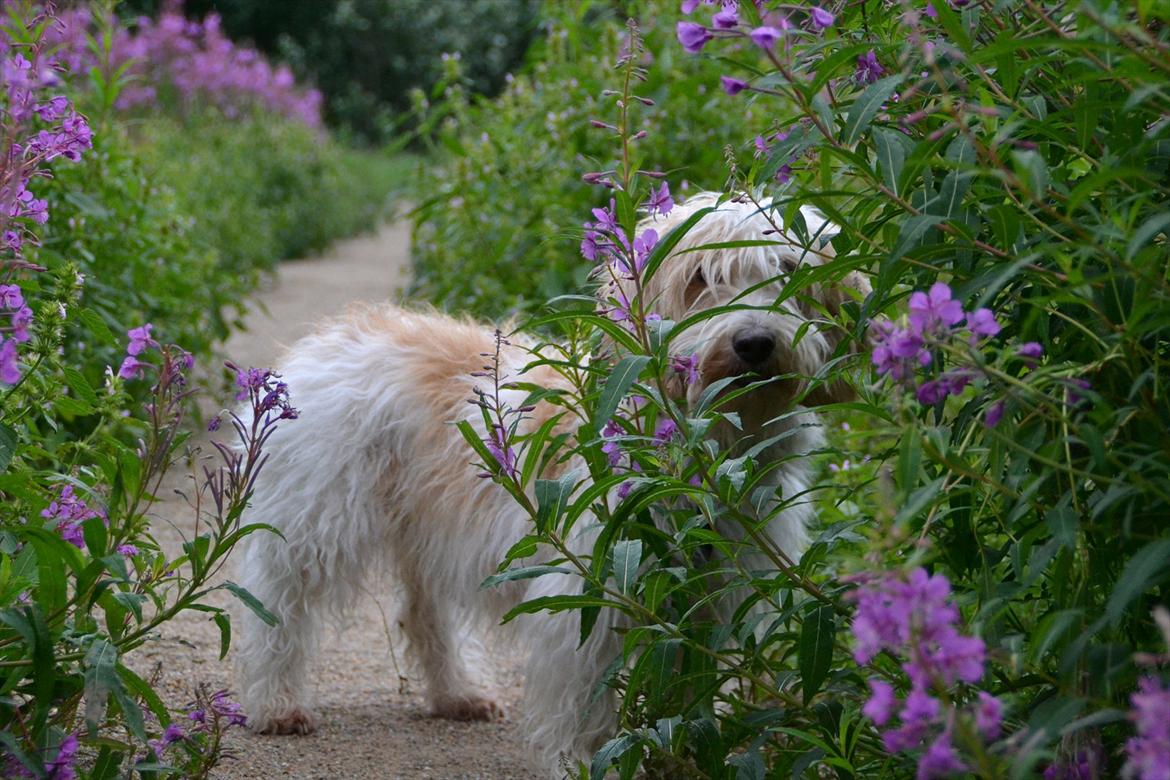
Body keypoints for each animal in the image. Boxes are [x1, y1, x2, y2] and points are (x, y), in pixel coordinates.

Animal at [232, 191, 870, 771]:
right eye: (700, 278)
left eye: (790, 272)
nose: (755, 342)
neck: (708, 460)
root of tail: (332, 335)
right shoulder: (589, 596)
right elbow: (583, 703)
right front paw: (582, 763)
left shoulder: (705, 601)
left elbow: (689, 689)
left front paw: (688, 749)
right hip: (315, 522)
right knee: (276, 605)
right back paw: (276, 704)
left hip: (429, 529)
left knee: (425, 612)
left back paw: (458, 693)